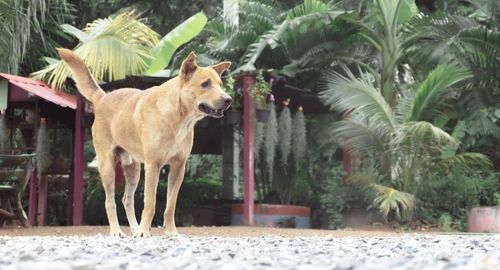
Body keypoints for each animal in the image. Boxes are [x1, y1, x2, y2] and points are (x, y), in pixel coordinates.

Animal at [57, 48, 232, 236]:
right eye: (205, 84)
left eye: (220, 84)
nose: (228, 100)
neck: (178, 117)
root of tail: (103, 98)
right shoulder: (153, 166)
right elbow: (150, 203)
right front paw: (144, 231)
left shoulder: (178, 168)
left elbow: (170, 205)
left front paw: (170, 231)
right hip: (107, 167)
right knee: (110, 201)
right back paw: (117, 231)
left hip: (133, 171)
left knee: (127, 200)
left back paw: (135, 229)